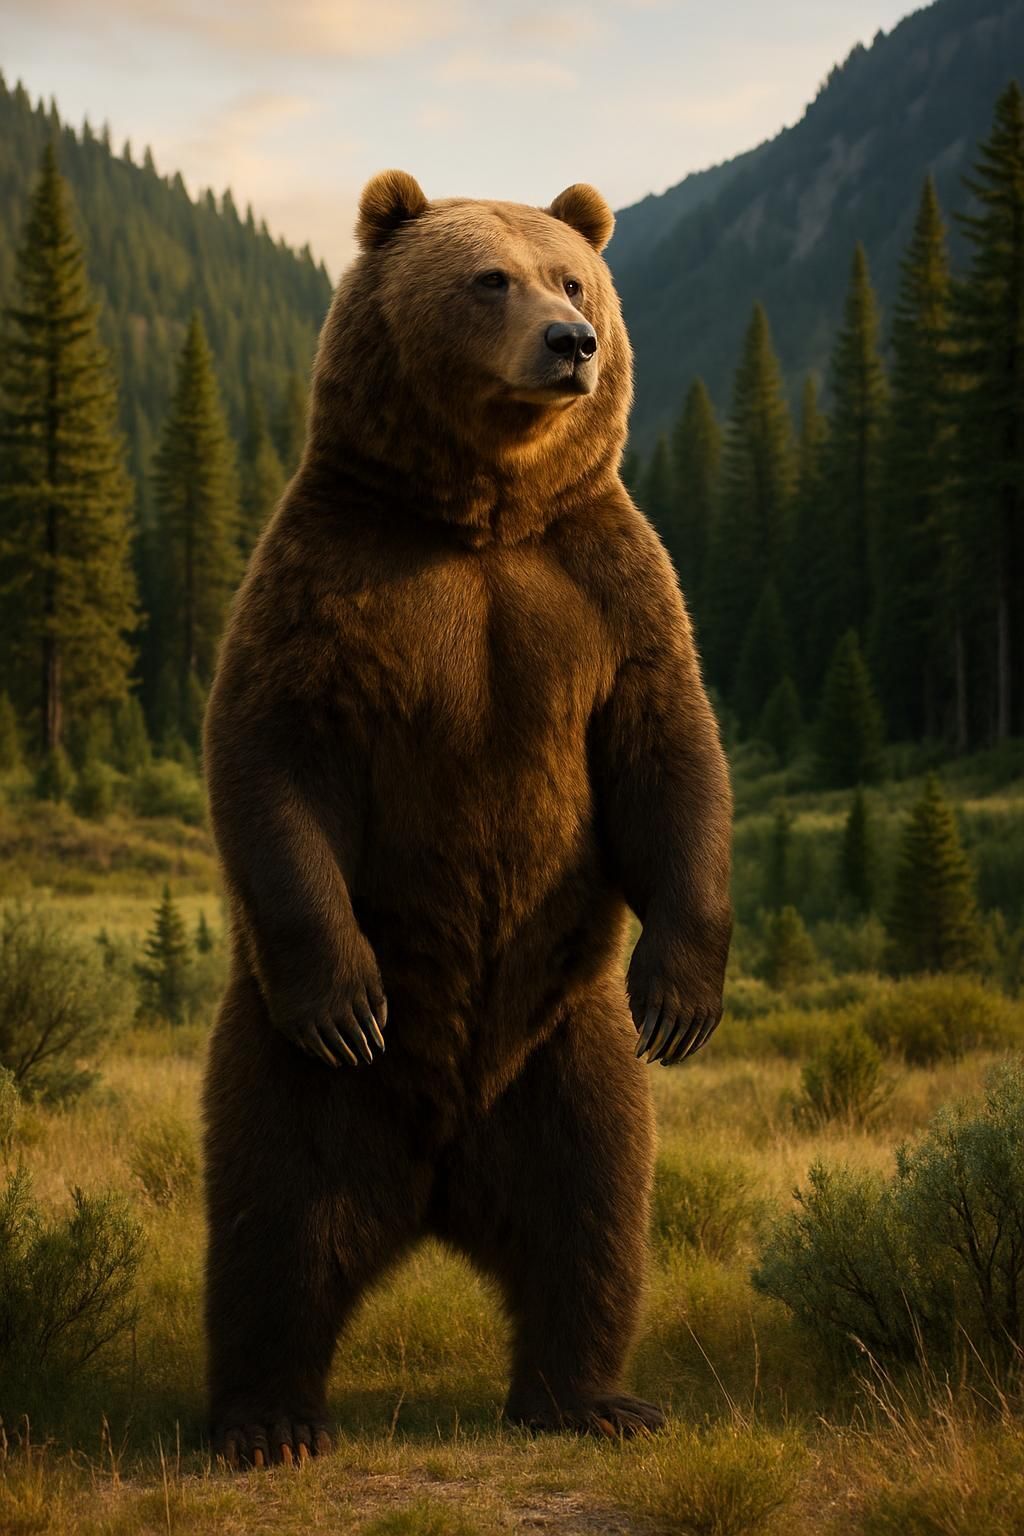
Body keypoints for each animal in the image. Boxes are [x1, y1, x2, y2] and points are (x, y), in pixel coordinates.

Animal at [201, 169, 733, 1467]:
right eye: (490, 278)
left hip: (564, 1045)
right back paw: (265, 1418)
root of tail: (438, 1179)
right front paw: (347, 996)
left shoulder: (602, 582)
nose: (571, 343)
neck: (484, 513)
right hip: (298, 1079)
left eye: (573, 276)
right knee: (275, 1226)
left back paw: (591, 1396)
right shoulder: (330, 580)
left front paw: (682, 997)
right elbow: (272, 753)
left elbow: (668, 750)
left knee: (596, 1208)